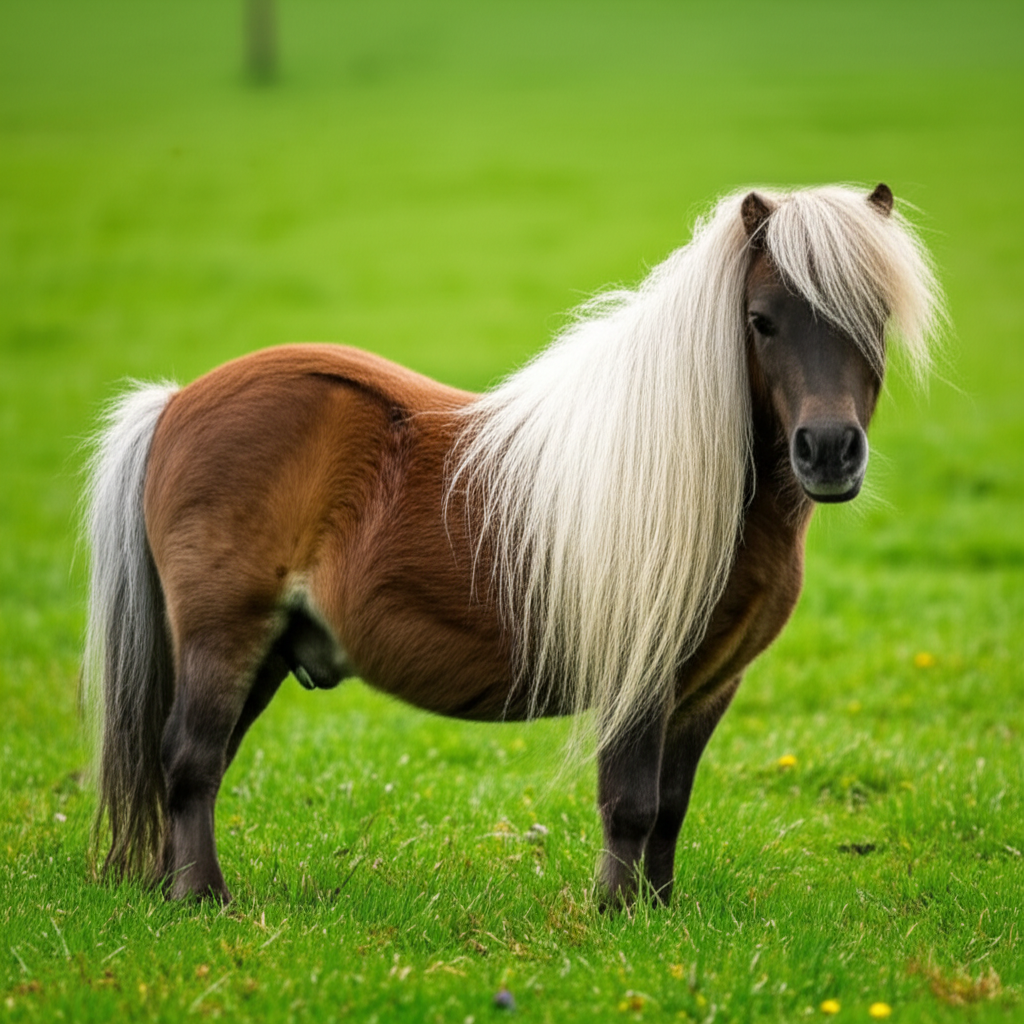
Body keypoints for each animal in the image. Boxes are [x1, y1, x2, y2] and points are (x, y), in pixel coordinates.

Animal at [83, 183, 944, 906]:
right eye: (761, 320)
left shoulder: (708, 687)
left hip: (263, 649)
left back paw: (170, 892)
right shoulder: (640, 676)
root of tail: (176, 403)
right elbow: (630, 803)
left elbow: (670, 806)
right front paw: (616, 918)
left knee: (196, 762)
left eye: (876, 316)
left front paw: (661, 914)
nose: (828, 451)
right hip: (225, 633)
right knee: (190, 759)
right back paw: (204, 901)